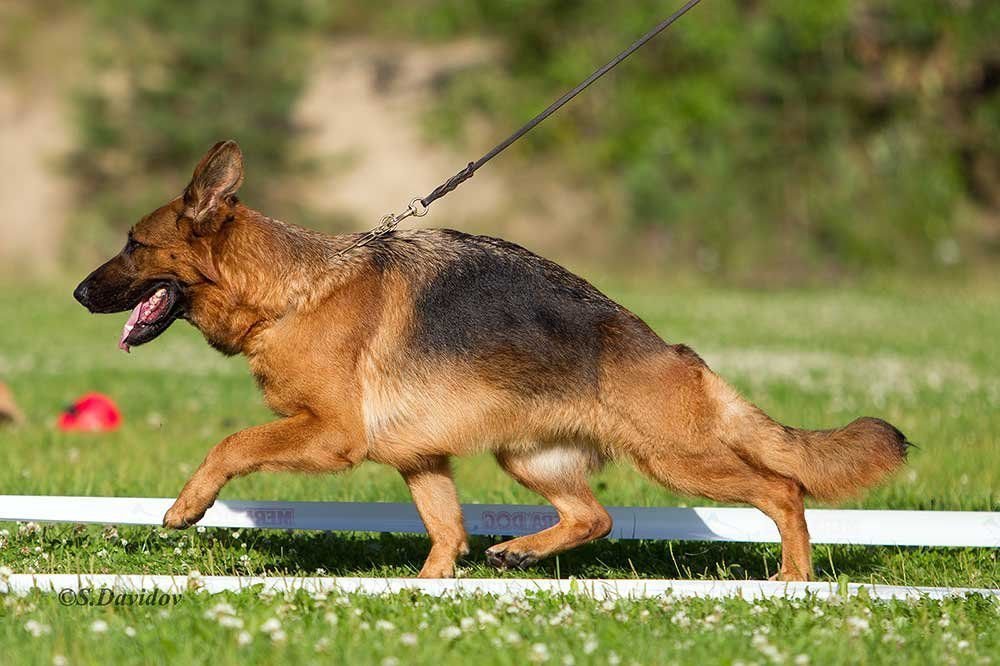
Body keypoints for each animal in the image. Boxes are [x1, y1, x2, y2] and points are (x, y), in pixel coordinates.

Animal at [74, 140, 912, 576]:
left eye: (133, 244)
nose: (78, 293)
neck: (292, 291)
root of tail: (675, 353)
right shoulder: (420, 458)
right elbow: (446, 533)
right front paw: (428, 591)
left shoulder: (331, 435)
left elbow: (231, 444)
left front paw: (187, 505)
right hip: (529, 457)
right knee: (596, 515)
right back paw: (518, 550)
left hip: (679, 460)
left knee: (784, 491)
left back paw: (793, 578)